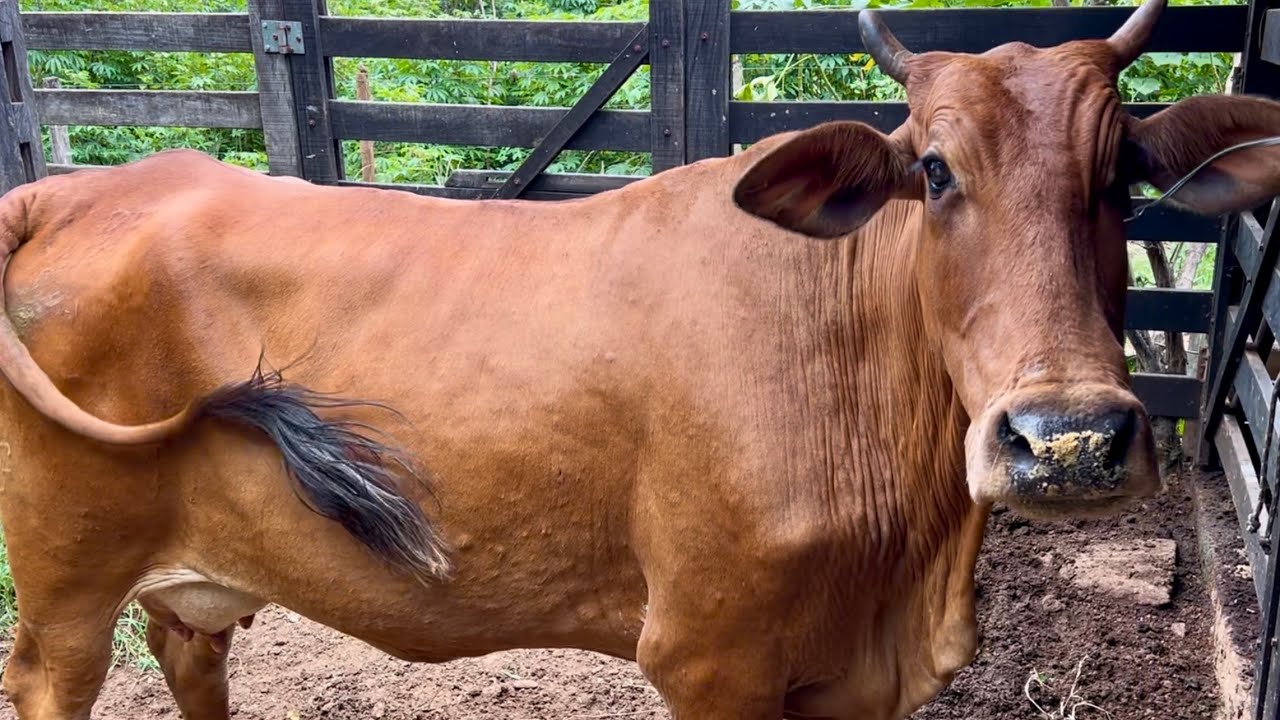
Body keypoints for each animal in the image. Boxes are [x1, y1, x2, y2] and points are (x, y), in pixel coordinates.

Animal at [0, 0, 1278, 717]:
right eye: (931, 169)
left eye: (1120, 176)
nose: (1066, 440)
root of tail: (78, 186)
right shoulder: (708, 658)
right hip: (64, 582)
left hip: (193, 578)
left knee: (188, 654)